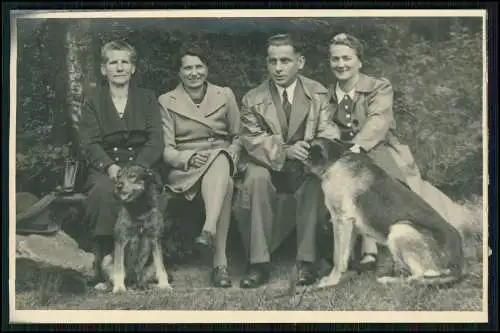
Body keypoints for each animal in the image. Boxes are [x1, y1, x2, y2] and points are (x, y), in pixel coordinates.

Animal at [108, 162, 173, 292]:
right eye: (118, 177)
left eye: (132, 176)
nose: (118, 186)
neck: (139, 208)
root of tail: (134, 281)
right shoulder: (121, 239)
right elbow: (119, 268)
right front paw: (119, 287)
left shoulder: (155, 238)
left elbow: (161, 267)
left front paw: (164, 285)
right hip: (107, 259)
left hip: (149, 266)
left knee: (145, 277)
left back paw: (148, 285)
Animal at [304, 137, 464, 288]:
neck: (335, 158)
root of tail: (457, 267)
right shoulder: (350, 226)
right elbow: (345, 254)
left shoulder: (341, 220)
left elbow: (337, 257)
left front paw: (331, 280)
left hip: (400, 229)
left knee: (416, 278)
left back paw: (387, 280)